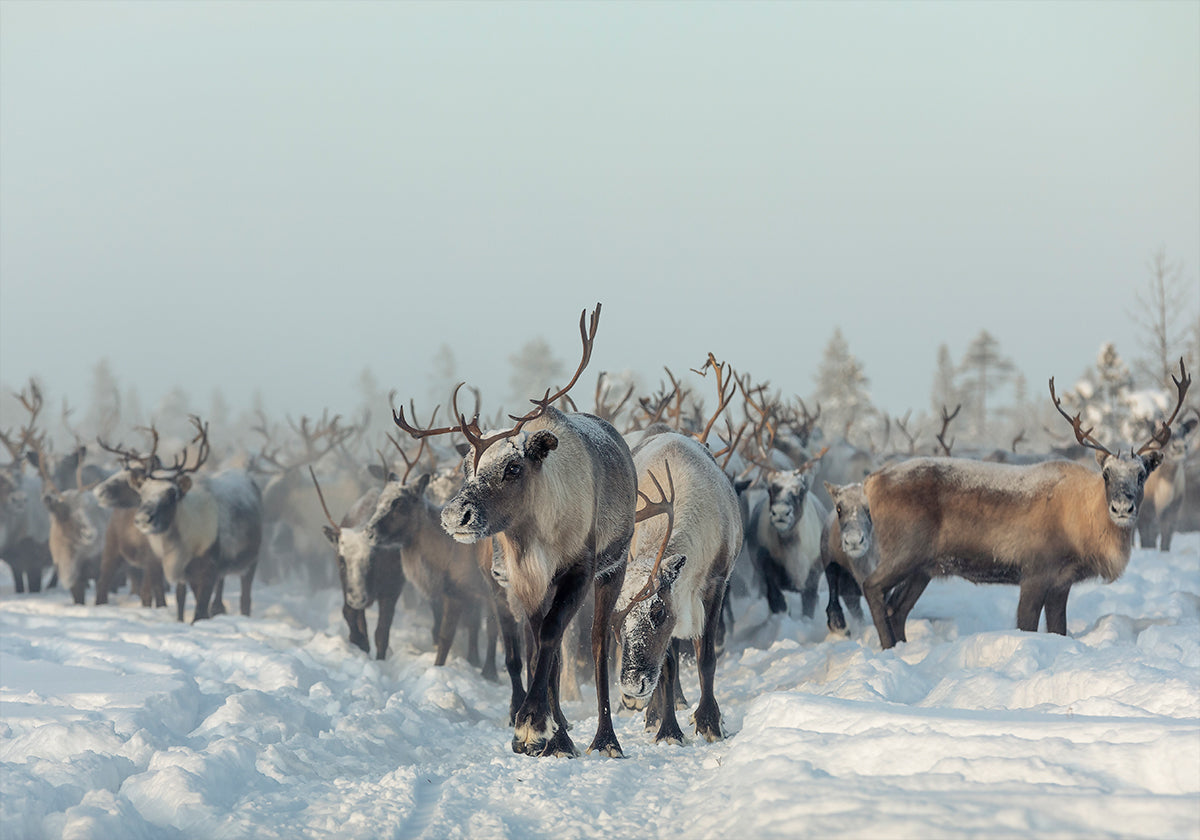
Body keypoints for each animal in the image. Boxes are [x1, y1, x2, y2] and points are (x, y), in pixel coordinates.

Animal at [394, 303, 637, 759]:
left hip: (614, 565)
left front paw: (531, 726)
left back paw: (604, 738)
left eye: (512, 467)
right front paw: (546, 730)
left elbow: (553, 637)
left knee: (595, 642)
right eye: (467, 466)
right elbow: (531, 649)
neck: (532, 539)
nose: (455, 515)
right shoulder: (513, 581)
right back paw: (563, 730)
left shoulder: (578, 570)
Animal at [860, 359, 1191, 649]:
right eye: (1106, 474)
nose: (1122, 508)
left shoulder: (1062, 581)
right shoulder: (1034, 571)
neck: (1082, 524)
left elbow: (1058, 628)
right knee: (873, 587)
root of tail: (872, 482)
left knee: (897, 609)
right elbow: (1027, 625)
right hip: (903, 550)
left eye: (1142, 474)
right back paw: (889, 648)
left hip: (924, 567)